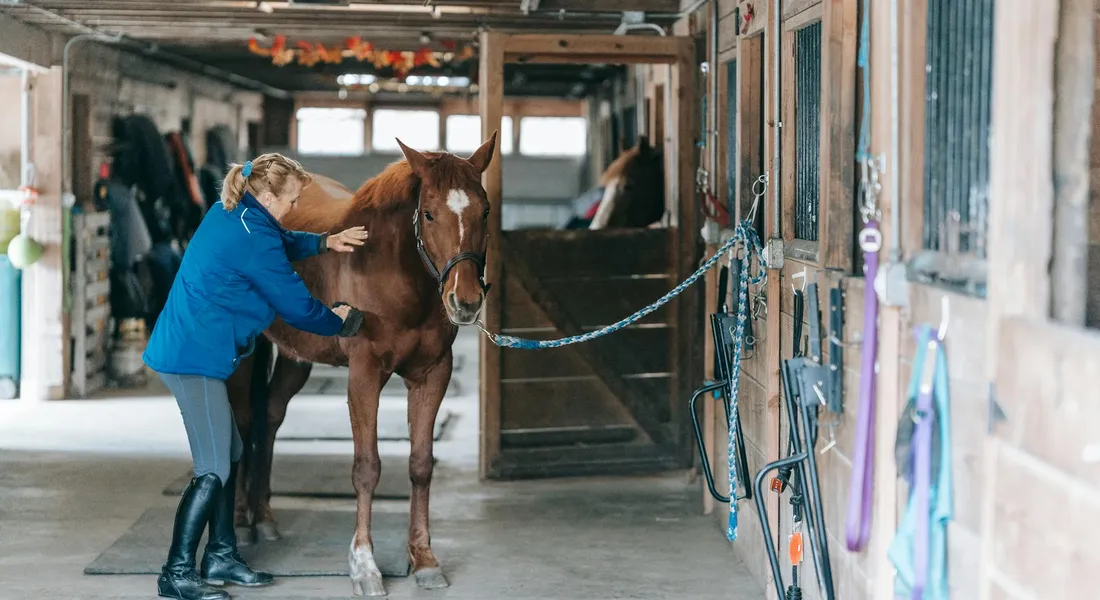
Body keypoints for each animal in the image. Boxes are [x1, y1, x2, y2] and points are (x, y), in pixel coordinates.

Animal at [225, 132, 498, 597]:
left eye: (485, 210)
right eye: (428, 213)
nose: (464, 302)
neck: (393, 273)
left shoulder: (432, 374)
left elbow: (421, 464)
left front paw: (424, 560)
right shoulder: (365, 374)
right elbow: (367, 468)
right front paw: (365, 566)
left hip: (297, 357)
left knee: (270, 417)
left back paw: (265, 518)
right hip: (245, 356)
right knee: (244, 422)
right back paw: (243, 524)